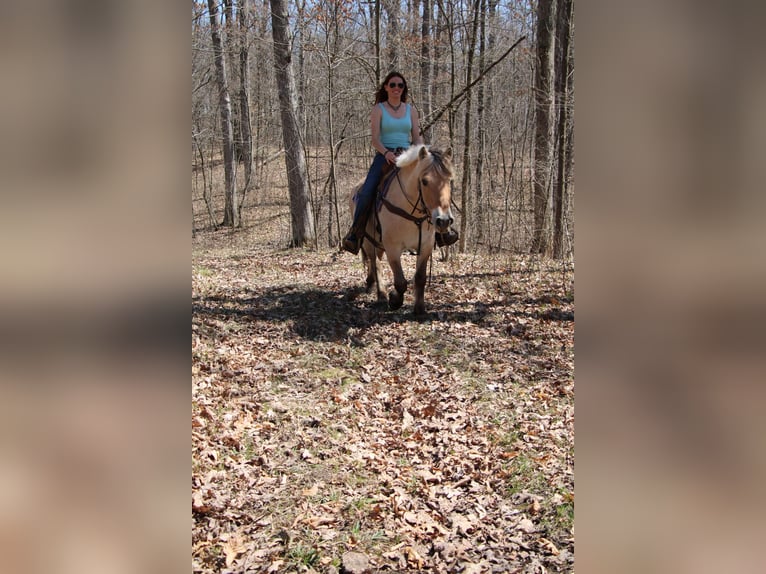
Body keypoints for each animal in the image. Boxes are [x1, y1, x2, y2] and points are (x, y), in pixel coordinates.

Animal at [350, 144, 456, 316]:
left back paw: (371, 284)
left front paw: (419, 308)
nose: (444, 220)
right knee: (375, 264)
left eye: (449, 181)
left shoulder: (425, 246)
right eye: (424, 181)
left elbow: (420, 278)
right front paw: (394, 300)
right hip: (367, 241)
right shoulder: (392, 248)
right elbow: (400, 282)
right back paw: (381, 295)